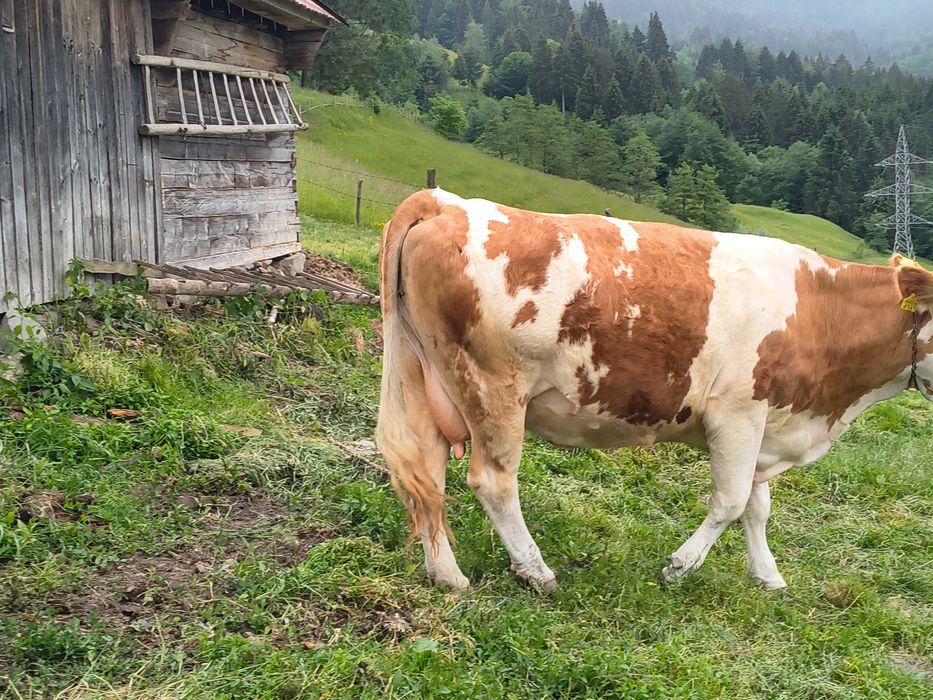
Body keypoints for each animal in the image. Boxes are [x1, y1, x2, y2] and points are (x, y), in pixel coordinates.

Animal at [376, 188, 933, 592]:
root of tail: (444, 201)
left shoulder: (768, 420)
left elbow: (758, 505)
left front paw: (768, 575)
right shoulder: (739, 412)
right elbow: (732, 502)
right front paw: (679, 567)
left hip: (424, 375)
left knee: (427, 470)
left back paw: (447, 575)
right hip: (494, 386)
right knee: (492, 481)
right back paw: (536, 572)